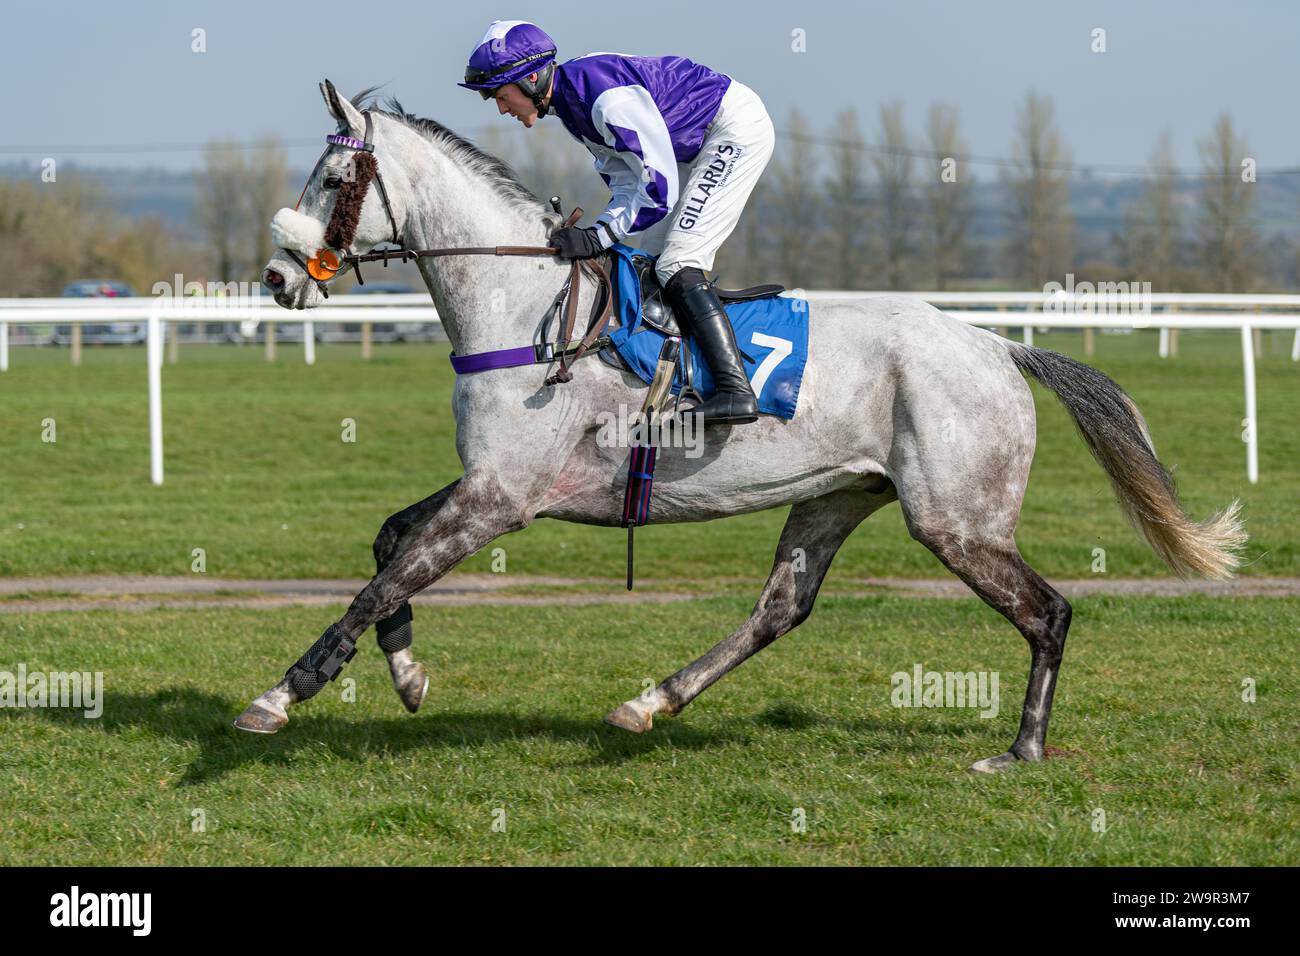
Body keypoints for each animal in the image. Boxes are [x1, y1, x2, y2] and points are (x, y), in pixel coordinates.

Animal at [239, 78, 1242, 775]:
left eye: (335, 176)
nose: (278, 279)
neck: (521, 306)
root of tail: (998, 344)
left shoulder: (503, 499)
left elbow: (382, 581)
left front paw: (283, 694)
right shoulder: (489, 482)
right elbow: (388, 545)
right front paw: (406, 676)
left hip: (956, 518)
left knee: (1048, 610)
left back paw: (1023, 749)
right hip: (837, 495)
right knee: (781, 608)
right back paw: (651, 702)